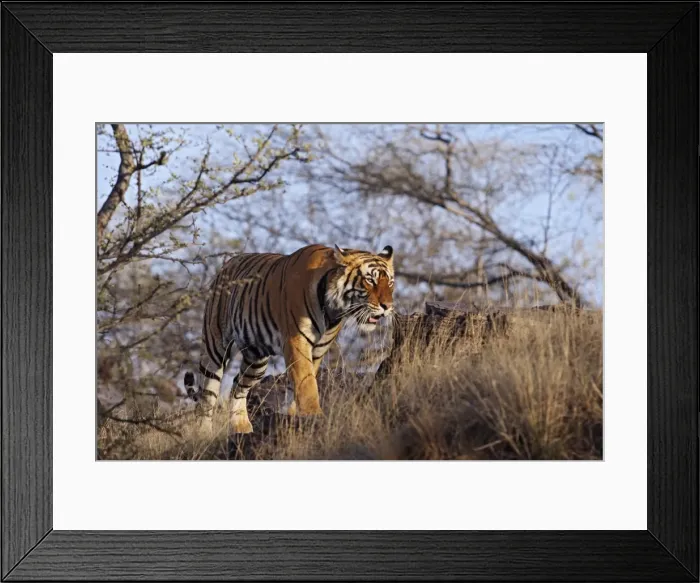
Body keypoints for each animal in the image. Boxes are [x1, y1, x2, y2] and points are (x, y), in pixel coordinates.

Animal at [184, 243, 395, 434]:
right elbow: (306, 382)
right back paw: (203, 433)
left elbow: (300, 383)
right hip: (215, 347)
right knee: (207, 394)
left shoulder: (318, 349)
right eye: (370, 280)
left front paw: (293, 416)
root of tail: (227, 264)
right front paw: (313, 416)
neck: (333, 310)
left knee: (237, 386)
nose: (388, 306)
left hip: (256, 359)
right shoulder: (297, 341)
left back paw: (241, 428)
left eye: (391, 283)